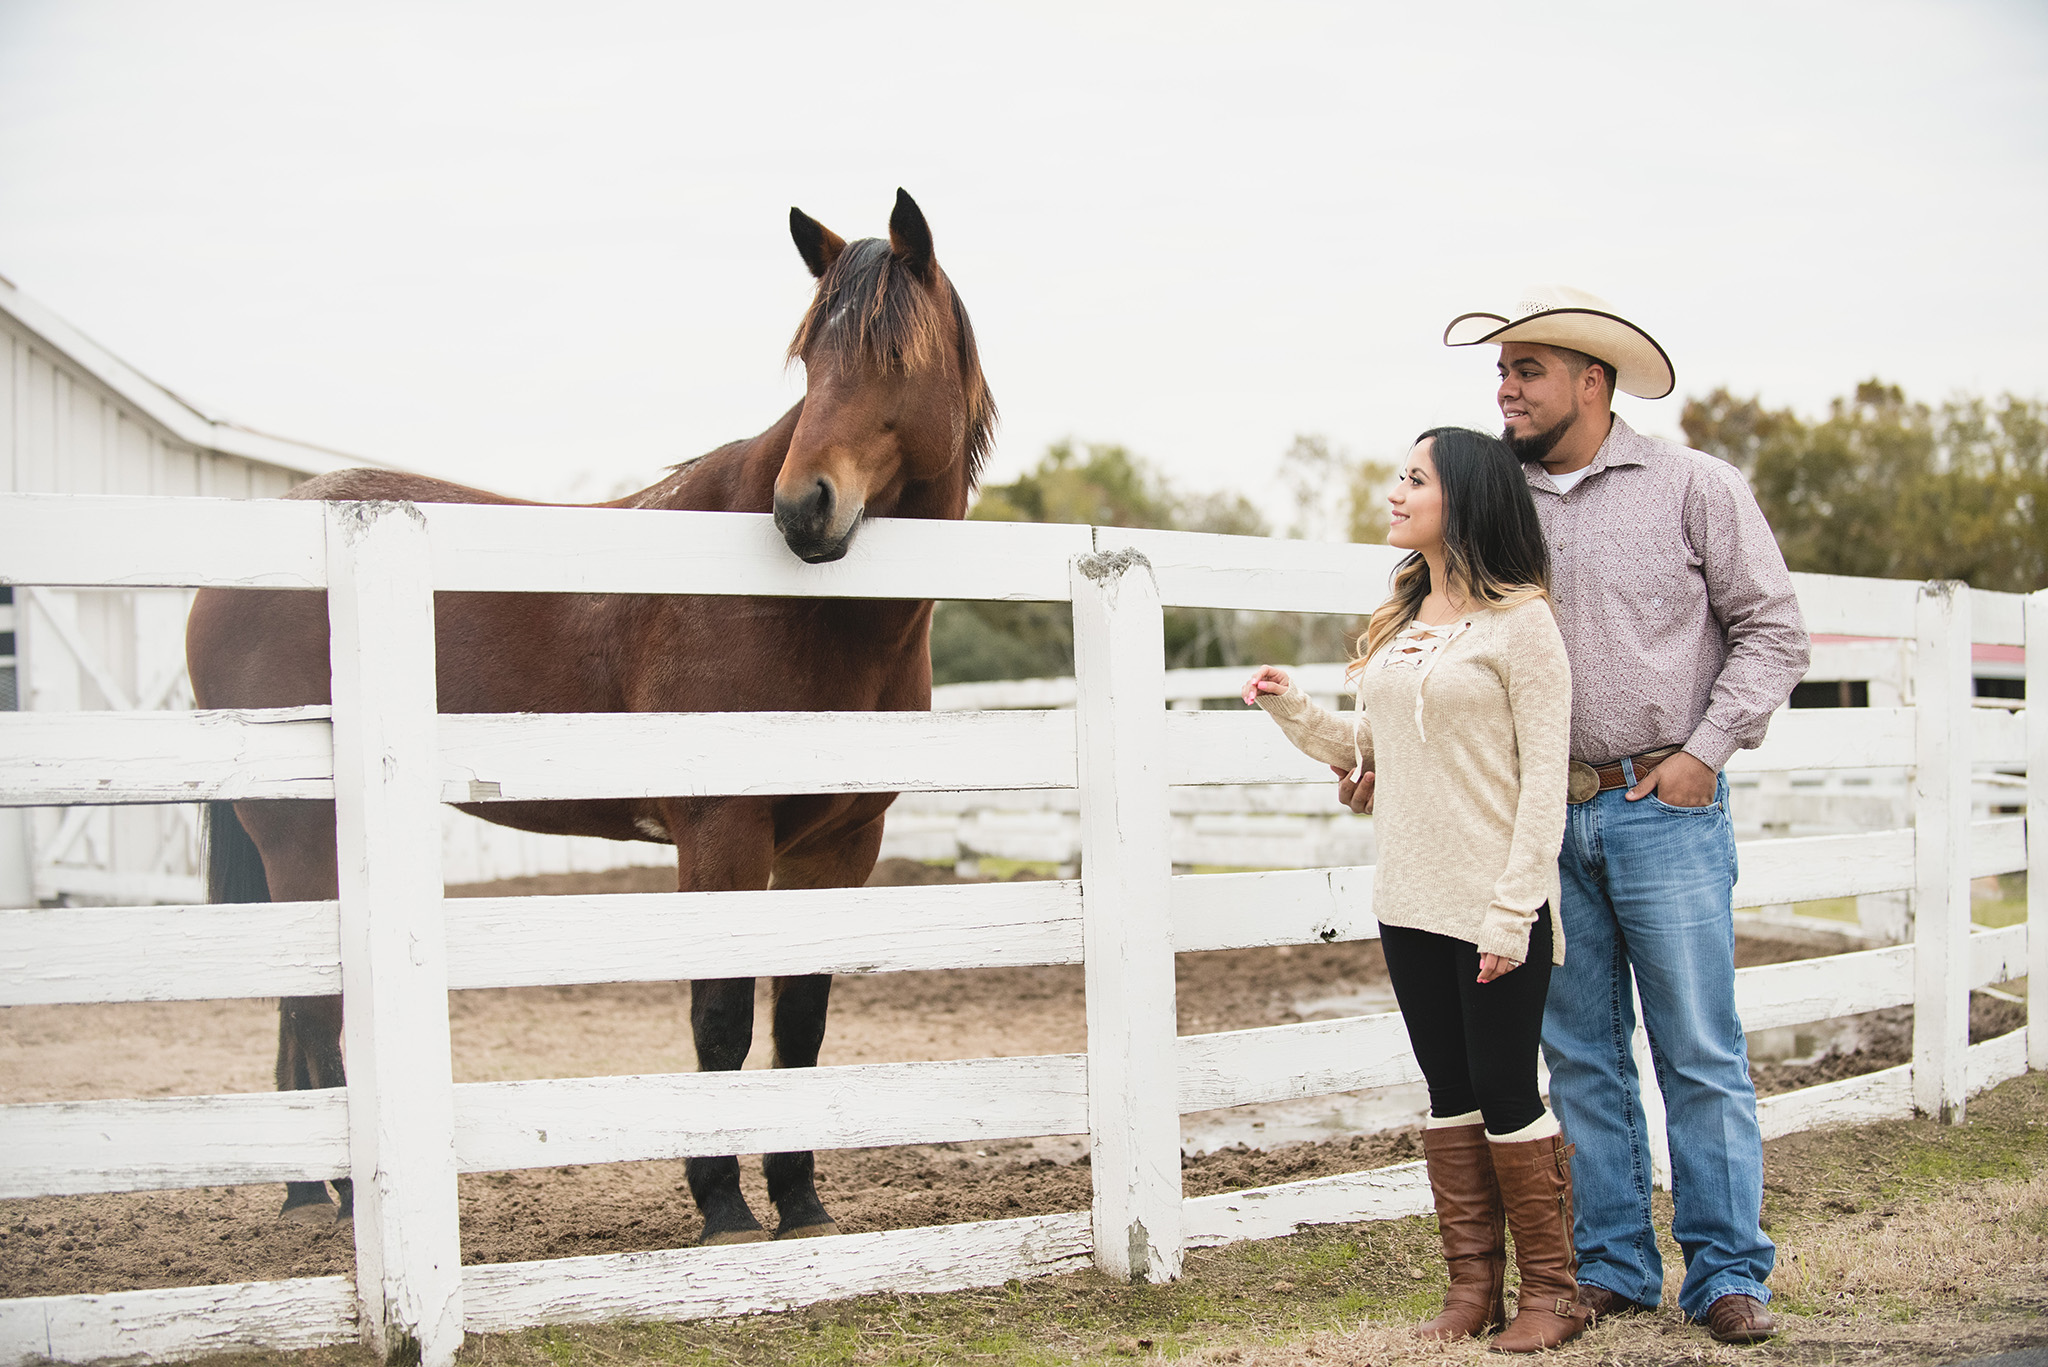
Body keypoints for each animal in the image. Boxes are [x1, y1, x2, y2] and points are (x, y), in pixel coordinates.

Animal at [180, 192, 995, 1254]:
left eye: (893, 356)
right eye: (811, 360)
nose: (803, 509)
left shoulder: (840, 846)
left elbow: (801, 1024)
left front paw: (803, 1204)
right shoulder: (723, 836)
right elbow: (722, 1019)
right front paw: (725, 1207)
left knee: (299, 1004)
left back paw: (308, 1188)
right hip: (297, 836)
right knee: (321, 1014)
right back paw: (358, 1206)